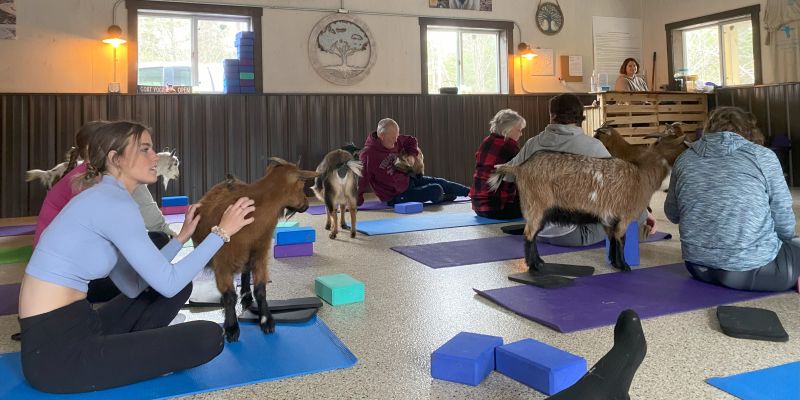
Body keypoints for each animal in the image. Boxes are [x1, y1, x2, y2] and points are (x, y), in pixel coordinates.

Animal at [191, 158, 319, 342]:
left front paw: (266, 320)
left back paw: (246, 295)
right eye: (301, 184)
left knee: (245, 272)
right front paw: (231, 328)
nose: (306, 205)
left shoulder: (260, 252)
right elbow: (229, 296)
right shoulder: (222, 261)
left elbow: (260, 289)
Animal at [488, 135, 686, 271]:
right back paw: (535, 265)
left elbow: (612, 240)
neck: (640, 175)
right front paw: (624, 266)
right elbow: (621, 239)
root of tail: (520, 168)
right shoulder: (624, 217)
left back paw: (539, 262)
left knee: (532, 235)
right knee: (529, 235)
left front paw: (614, 263)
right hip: (537, 205)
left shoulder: (608, 218)